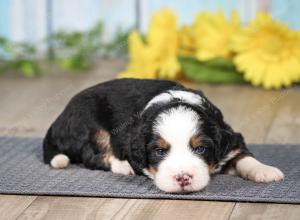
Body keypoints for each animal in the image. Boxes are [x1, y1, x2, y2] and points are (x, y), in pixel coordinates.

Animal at [42, 78, 284, 192]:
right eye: (159, 151)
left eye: (200, 149)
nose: (183, 178)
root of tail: (58, 120)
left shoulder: (230, 139)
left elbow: (243, 157)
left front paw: (265, 171)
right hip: (89, 124)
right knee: (91, 155)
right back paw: (122, 166)